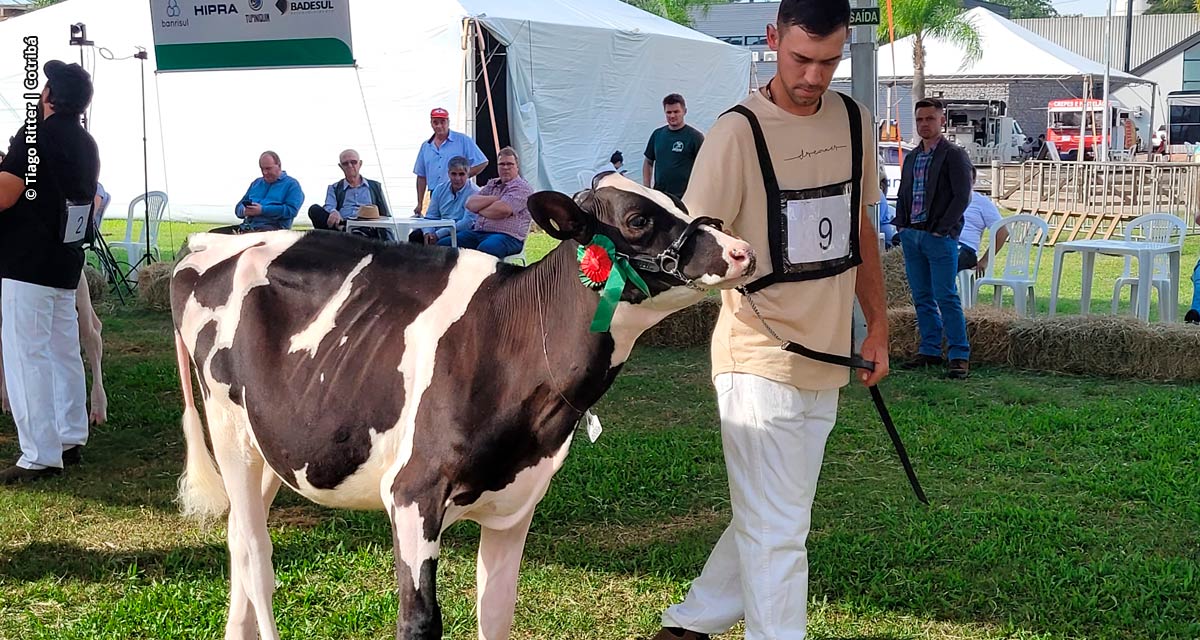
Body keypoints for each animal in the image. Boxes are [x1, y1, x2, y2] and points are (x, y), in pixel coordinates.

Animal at [171, 171, 748, 633]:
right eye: (638, 219)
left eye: (677, 200)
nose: (741, 250)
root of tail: (205, 244)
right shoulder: (413, 493)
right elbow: (420, 619)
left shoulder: (517, 502)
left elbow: (497, 614)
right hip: (227, 428)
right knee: (256, 558)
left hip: (272, 442)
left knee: (237, 541)